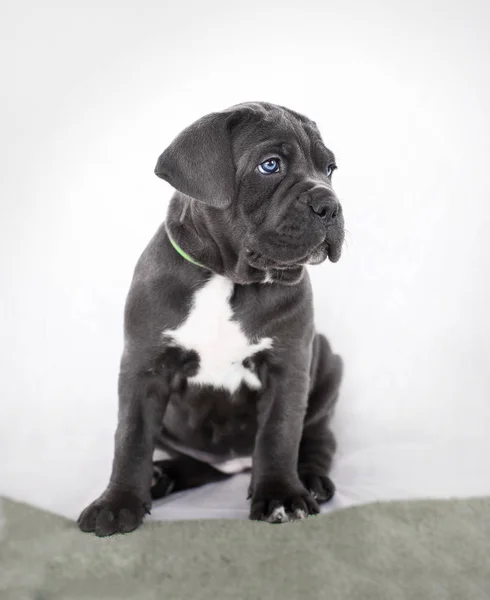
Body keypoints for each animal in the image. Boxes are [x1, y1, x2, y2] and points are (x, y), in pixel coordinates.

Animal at [77, 101, 344, 536]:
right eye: (270, 165)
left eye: (330, 169)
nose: (331, 205)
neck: (228, 279)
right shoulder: (144, 367)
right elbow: (131, 437)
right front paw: (117, 503)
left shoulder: (288, 367)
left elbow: (280, 434)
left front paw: (282, 497)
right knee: (196, 465)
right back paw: (160, 477)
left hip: (329, 365)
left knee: (319, 437)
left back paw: (311, 480)